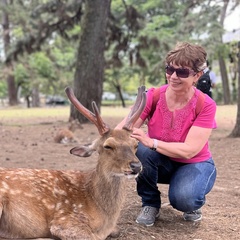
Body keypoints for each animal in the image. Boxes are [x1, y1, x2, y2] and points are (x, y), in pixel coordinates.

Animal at [0, 85, 146, 239]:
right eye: (108, 146)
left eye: (136, 144)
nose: (136, 166)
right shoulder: (65, 221)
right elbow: (92, 236)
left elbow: (116, 231)